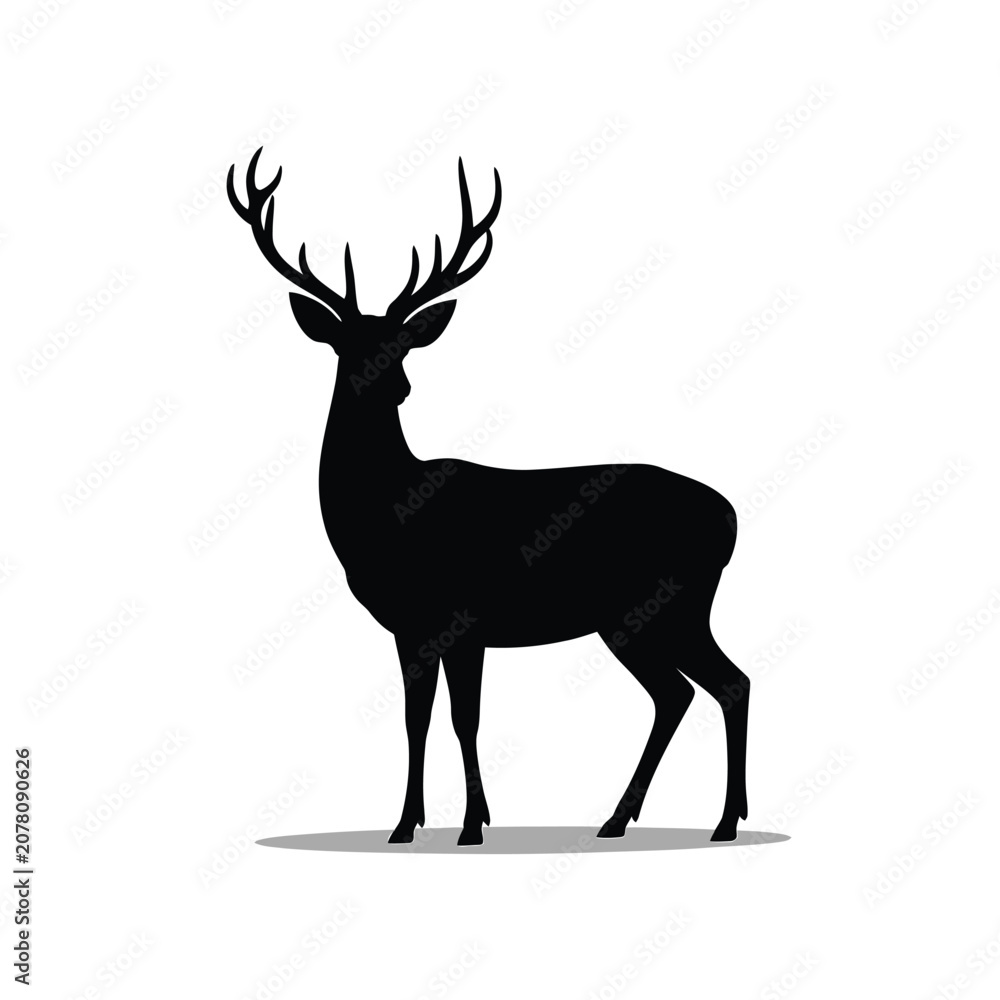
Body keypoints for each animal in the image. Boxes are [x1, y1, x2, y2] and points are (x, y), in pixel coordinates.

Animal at [227, 148, 749, 846]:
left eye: (402, 342)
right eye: (347, 343)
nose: (394, 386)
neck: (388, 515)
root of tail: (731, 516)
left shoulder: (463, 614)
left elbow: (463, 719)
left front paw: (472, 824)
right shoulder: (410, 627)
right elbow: (416, 717)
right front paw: (407, 824)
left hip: (665, 605)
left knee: (718, 685)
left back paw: (714, 820)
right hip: (645, 616)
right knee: (690, 691)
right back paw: (632, 818)